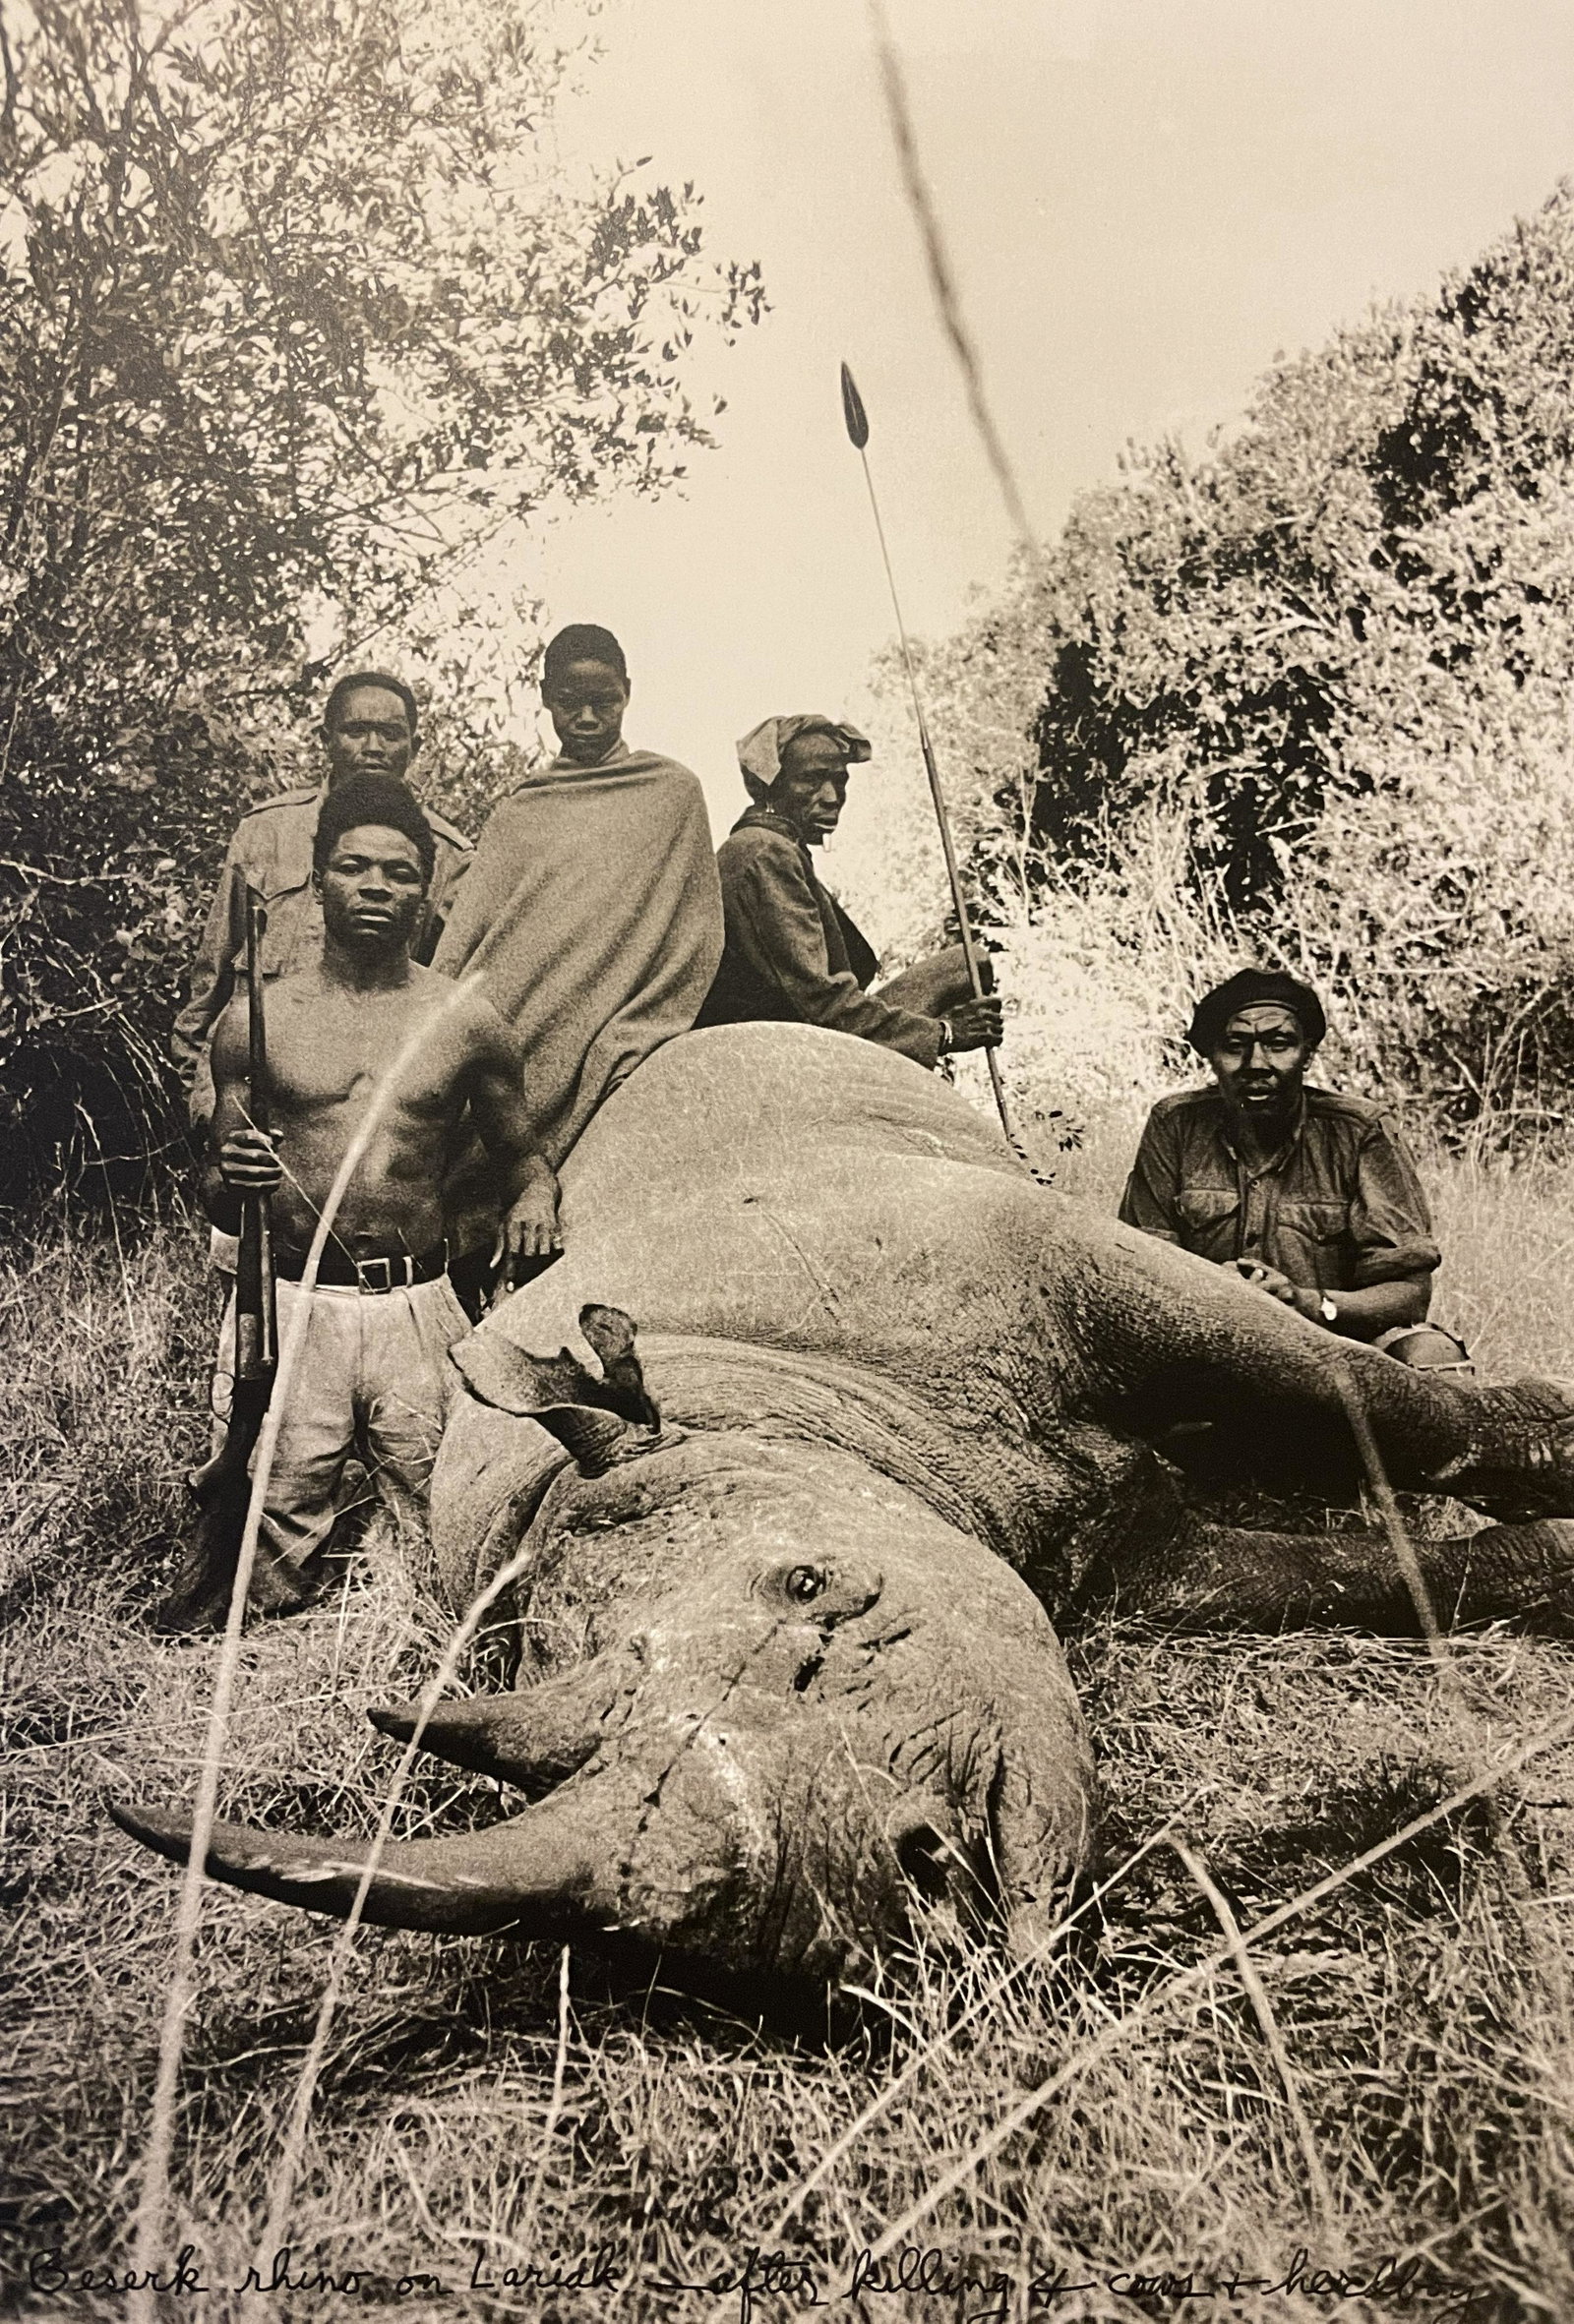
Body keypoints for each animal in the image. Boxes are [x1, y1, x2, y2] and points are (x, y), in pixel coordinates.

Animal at [115, 1023, 1574, 1992]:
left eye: (806, 1583)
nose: (900, 1901)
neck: (743, 1399)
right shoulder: (1112, 1552)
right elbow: (1365, 1566)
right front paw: (1541, 1560)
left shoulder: (1073, 1266)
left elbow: (1383, 1407)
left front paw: (1550, 1459)